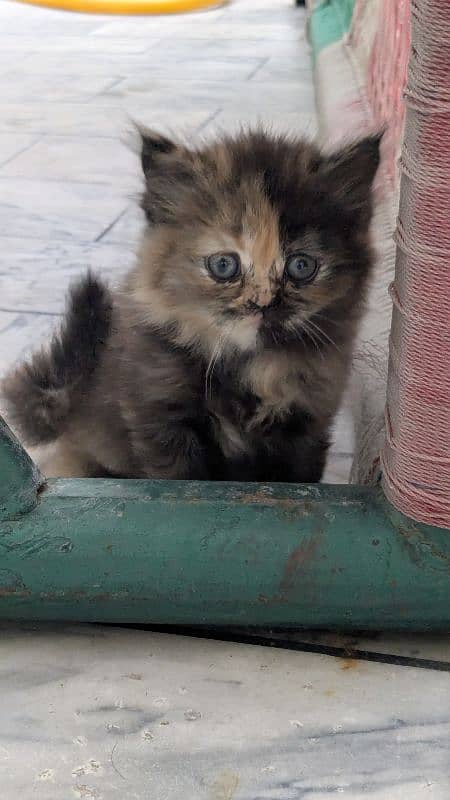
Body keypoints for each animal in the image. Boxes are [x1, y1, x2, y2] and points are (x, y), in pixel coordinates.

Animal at [2, 130, 380, 482]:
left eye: (301, 266)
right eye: (224, 265)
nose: (262, 303)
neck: (252, 365)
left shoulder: (308, 421)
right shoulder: (161, 419)